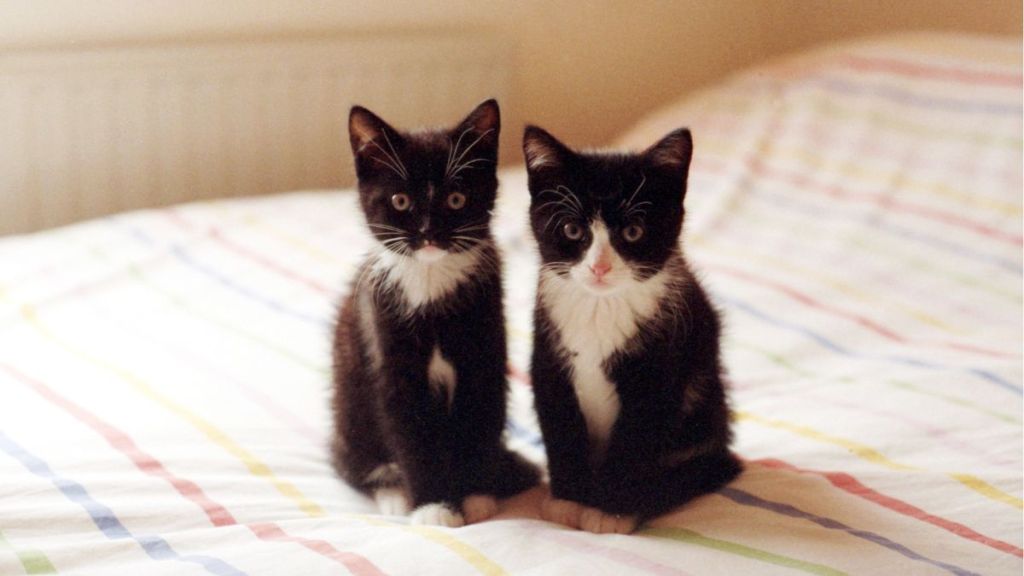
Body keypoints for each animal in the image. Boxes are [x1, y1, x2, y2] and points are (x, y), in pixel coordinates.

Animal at [331, 99, 540, 524]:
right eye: (400, 201)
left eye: (456, 199)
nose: (428, 233)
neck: (430, 282)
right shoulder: (390, 359)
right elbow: (411, 437)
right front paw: (433, 506)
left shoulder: (485, 352)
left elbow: (478, 418)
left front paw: (476, 495)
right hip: (350, 415)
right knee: (356, 465)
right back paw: (395, 494)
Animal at [524, 123, 741, 532]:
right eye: (572, 229)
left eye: (633, 232)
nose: (599, 267)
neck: (600, 308)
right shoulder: (547, 358)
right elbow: (561, 428)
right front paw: (568, 501)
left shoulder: (658, 372)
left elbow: (633, 443)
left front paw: (610, 511)